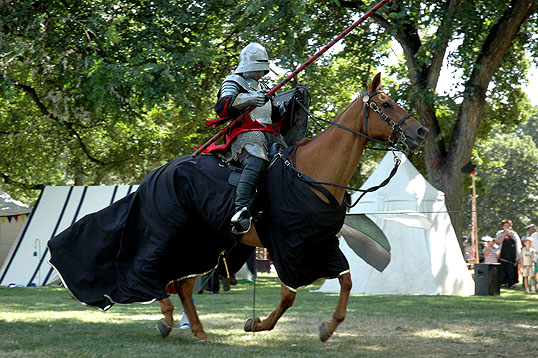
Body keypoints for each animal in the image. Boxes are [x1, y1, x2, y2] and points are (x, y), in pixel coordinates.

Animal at [156, 72, 428, 342]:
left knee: (183, 284)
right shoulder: (287, 245)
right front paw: (257, 324)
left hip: (208, 243)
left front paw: (328, 327)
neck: (313, 173)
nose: (421, 131)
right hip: (181, 236)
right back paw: (169, 319)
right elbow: (289, 295)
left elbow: (347, 281)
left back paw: (194, 329)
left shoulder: (324, 243)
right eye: (386, 104)